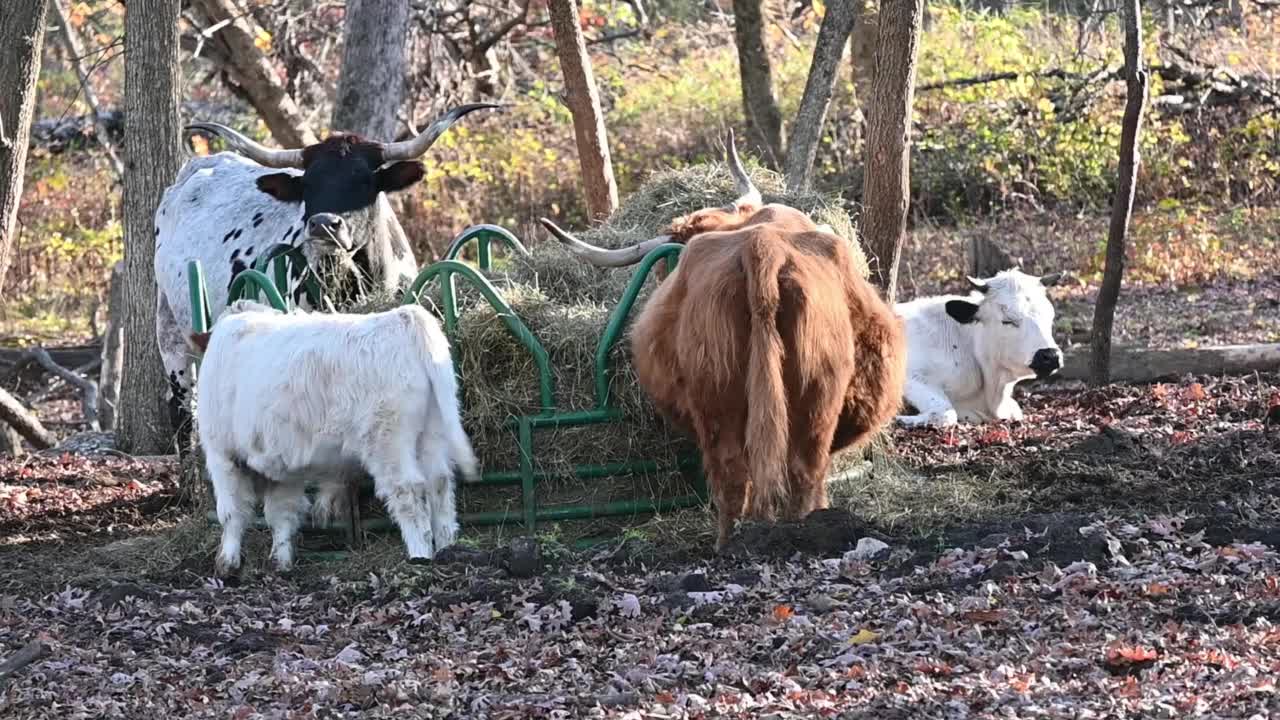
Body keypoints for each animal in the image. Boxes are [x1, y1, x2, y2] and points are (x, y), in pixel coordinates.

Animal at [186, 297, 473, 571]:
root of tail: (401, 316)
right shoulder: (281, 467)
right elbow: (282, 512)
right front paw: (281, 562)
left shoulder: (222, 454)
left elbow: (232, 512)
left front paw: (227, 563)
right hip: (432, 434)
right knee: (440, 484)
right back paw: (447, 551)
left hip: (388, 444)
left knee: (409, 493)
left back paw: (420, 557)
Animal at [896, 269, 1064, 425]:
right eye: (1007, 320)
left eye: (1050, 316)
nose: (1050, 355)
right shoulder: (910, 375)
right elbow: (946, 413)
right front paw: (901, 420)